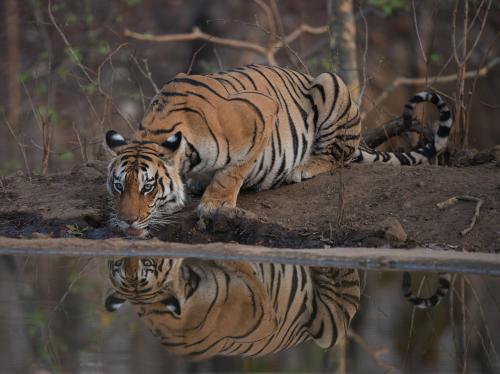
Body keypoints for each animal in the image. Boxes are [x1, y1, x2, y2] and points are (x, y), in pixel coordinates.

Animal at [103, 64, 452, 237]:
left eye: (148, 187)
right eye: (119, 186)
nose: (127, 222)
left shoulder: (260, 113)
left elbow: (233, 171)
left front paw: (215, 203)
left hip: (330, 84)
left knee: (338, 155)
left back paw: (303, 168)